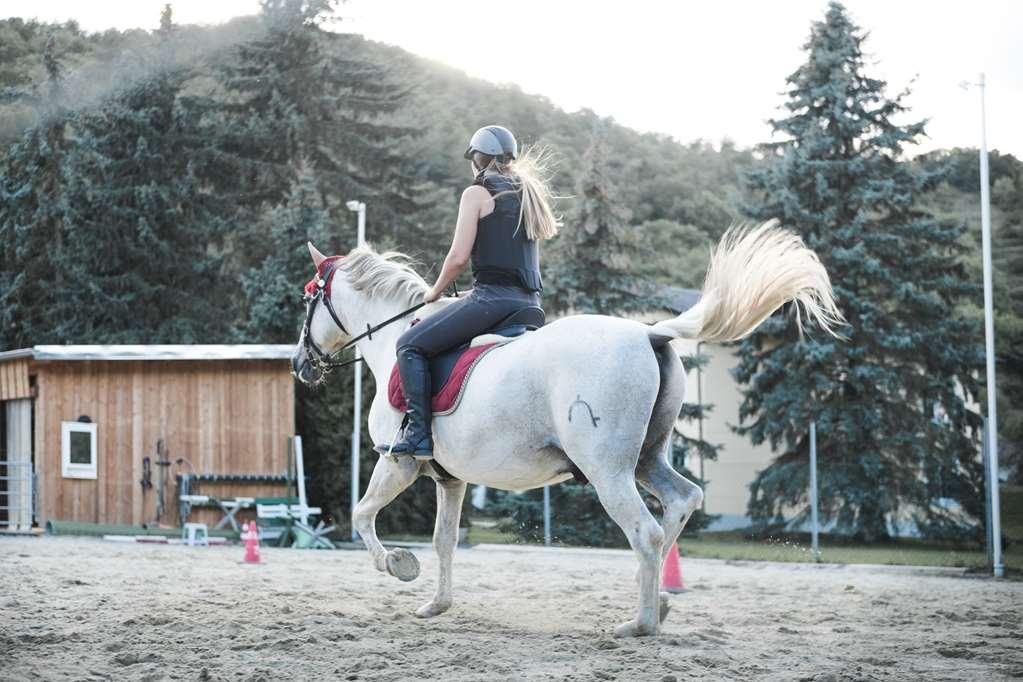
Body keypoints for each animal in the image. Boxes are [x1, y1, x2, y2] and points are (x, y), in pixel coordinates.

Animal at [292, 221, 842, 638]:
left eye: (308, 300)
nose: (301, 364)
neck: (392, 342)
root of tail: (649, 332)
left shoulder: (398, 461)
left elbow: (362, 514)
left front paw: (397, 565)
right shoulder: (451, 480)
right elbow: (444, 540)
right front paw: (437, 605)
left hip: (608, 471)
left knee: (645, 531)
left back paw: (639, 625)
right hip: (647, 460)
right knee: (680, 503)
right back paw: (658, 601)